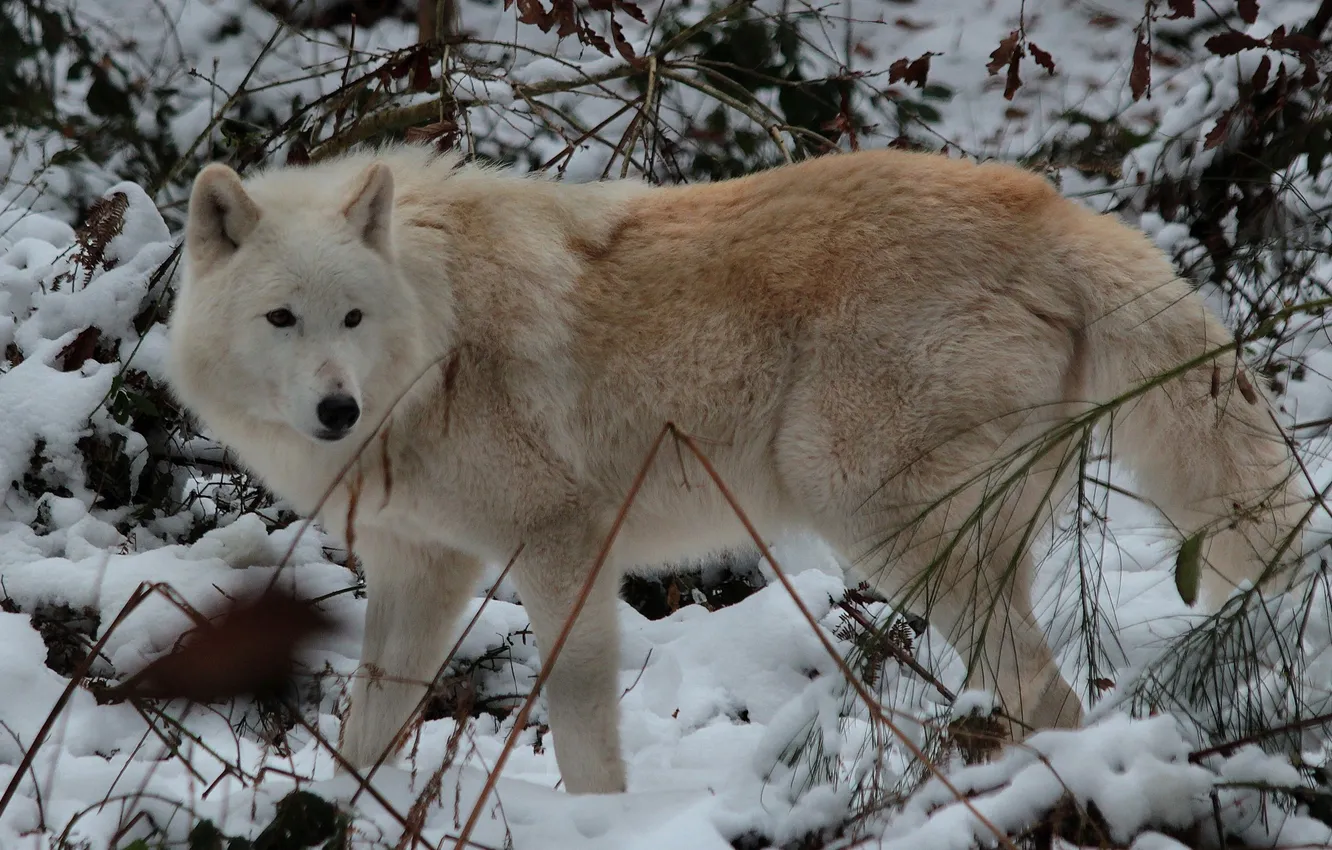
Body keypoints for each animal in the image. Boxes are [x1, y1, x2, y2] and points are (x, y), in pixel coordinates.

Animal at [166, 143, 1303, 794]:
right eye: (283, 319)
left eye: (352, 318)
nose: (336, 409)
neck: (435, 341)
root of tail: (1061, 214)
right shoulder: (421, 568)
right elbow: (369, 727)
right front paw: (333, 816)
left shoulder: (563, 543)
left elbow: (579, 724)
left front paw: (604, 824)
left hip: (873, 516)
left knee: (1053, 696)